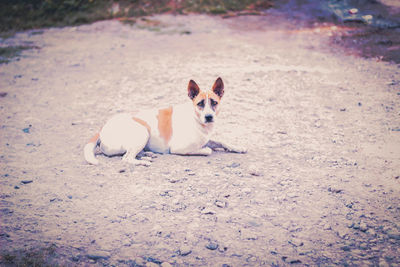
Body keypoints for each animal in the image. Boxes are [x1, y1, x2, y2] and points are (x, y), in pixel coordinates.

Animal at [84, 77, 245, 168]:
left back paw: (147, 154)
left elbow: (221, 142)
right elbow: (208, 150)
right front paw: (206, 149)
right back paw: (143, 161)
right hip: (143, 130)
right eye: (200, 104)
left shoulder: (208, 138)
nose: (209, 117)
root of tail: (102, 129)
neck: (197, 119)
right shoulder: (179, 148)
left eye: (214, 103)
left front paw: (237, 147)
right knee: (126, 158)